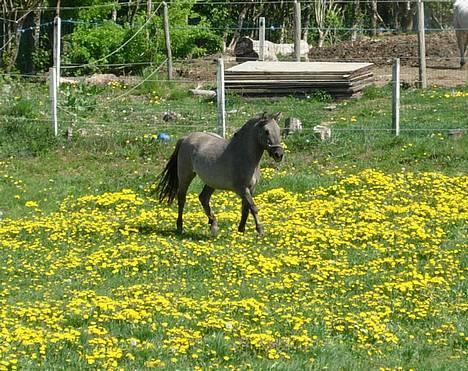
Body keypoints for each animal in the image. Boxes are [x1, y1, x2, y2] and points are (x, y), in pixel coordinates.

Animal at [155, 112, 284, 237]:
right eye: (266, 131)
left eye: (279, 130)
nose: (279, 154)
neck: (244, 155)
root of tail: (186, 138)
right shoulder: (242, 189)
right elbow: (253, 207)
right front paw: (260, 231)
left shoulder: (251, 189)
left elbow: (245, 209)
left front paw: (241, 231)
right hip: (185, 175)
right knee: (182, 198)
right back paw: (180, 227)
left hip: (211, 182)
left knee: (203, 198)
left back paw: (213, 225)